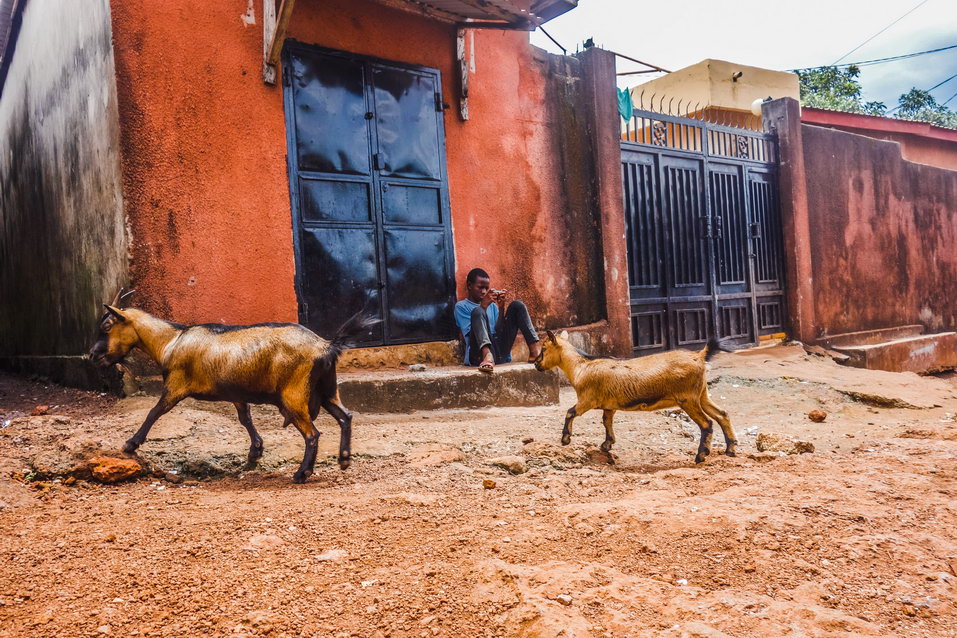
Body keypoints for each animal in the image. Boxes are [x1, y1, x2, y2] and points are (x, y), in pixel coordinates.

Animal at [88, 292, 376, 484]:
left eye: (106, 325)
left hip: (294, 396)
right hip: (327, 389)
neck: (171, 340)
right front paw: (255, 451)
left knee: (312, 434)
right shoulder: (238, 394)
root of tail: (327, 346)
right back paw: (344, 459)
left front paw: (131, 444)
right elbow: (245, 419)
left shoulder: (175, 386)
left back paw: (301, 473)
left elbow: (154, 412)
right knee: (345, 416)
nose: (92, 355)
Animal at [536, 332, 736, 462]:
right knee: (722, 414)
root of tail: (700, 356)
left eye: (544, 348)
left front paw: (565, 439)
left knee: (707, 424)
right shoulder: (609, 405)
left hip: (688, 399)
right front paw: (607, 444)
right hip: (701, 394)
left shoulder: (587, 400)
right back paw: (731, 449)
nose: (536, 363)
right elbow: (606, 421)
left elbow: (570, 412)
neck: (581, 367)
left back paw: (701, 455)